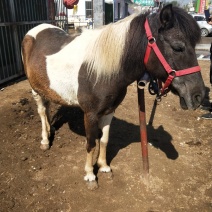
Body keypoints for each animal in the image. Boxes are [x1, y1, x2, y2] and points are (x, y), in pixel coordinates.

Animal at [21, 4, 205, 190]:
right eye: (177, 47)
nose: (198, 95)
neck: (101, 72)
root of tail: (35, 30)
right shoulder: (90, 114)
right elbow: (91, 143)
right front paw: (90, 175)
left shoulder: (109, 111)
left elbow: (104, 139)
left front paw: (103, 167)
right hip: (34, 89)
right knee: (42, 111)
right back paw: (45, 140)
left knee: (47, 106)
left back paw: (51, 129)